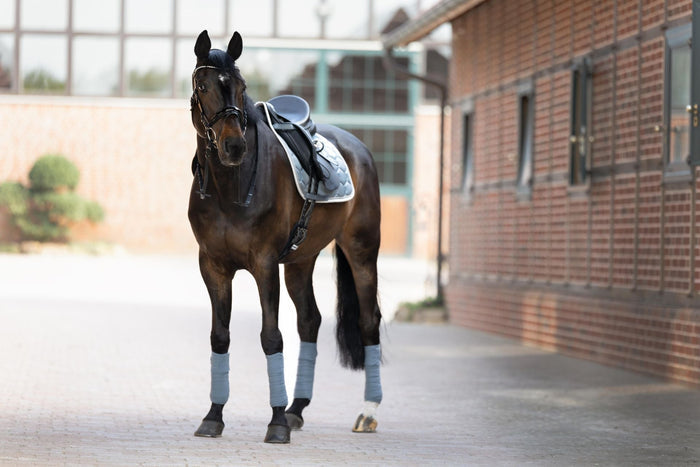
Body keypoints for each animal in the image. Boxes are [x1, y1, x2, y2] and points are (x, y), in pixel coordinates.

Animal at [187, 30, 383, 444]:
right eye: (203, 86)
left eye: (242, 86)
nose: (233, 146)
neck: (231, 187)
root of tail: (358, 147)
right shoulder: (213, 266)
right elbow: (219, 336)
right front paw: (214, 416)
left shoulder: (264, 265)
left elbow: (271, 337)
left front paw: (275, 422)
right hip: (300, 262)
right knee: (309, 321)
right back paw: (296, 409)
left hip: (361, 251)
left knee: (368, 322)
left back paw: (367, 412)